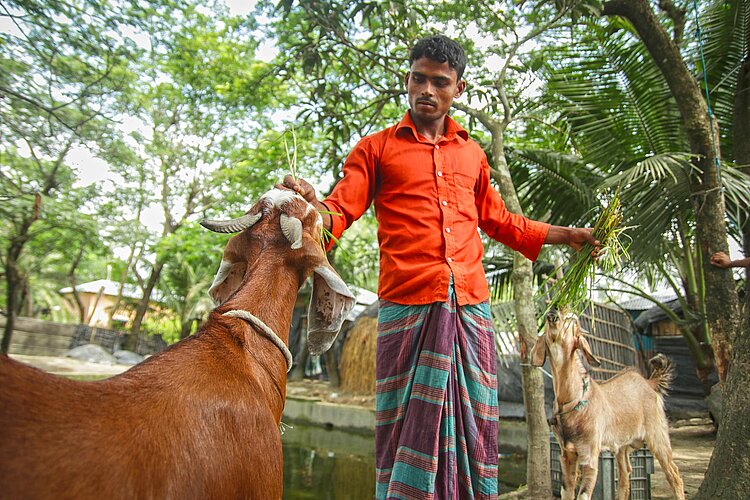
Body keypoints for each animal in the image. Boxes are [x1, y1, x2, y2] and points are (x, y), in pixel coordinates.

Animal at [530, 308, 685, 500]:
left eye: (572, 320)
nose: (552, 312)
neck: (572, 401)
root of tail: (649, 383)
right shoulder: (567, 455)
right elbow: (566, 492)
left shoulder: (589, 454)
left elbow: (583, 494)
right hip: (623, 445)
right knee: (626, 476)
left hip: (658, 435)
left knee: (674, 474)